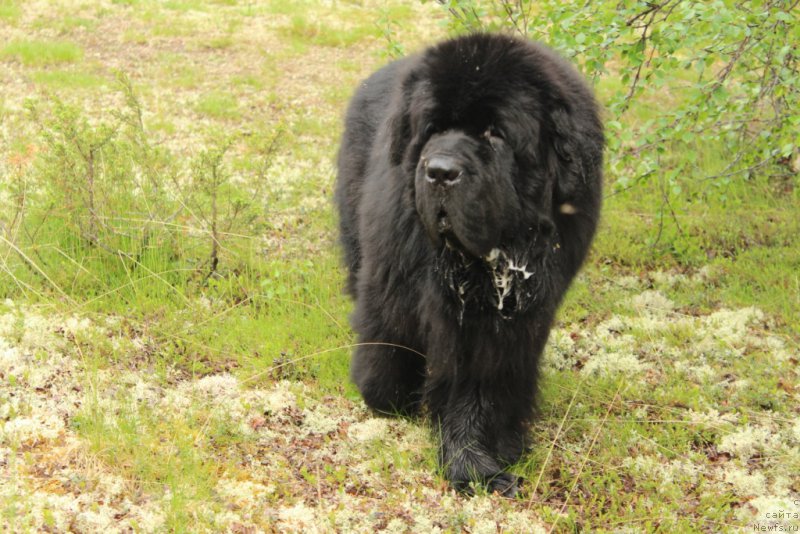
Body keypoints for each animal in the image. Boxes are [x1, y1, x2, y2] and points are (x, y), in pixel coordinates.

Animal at [334, 33, 604, 496]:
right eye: (433, 129)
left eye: (496, 134)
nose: (440, 172)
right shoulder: (394, 277)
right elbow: (388, 340)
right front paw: (387, 396)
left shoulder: (512, 318)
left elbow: (481, 384)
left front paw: (480, 461)